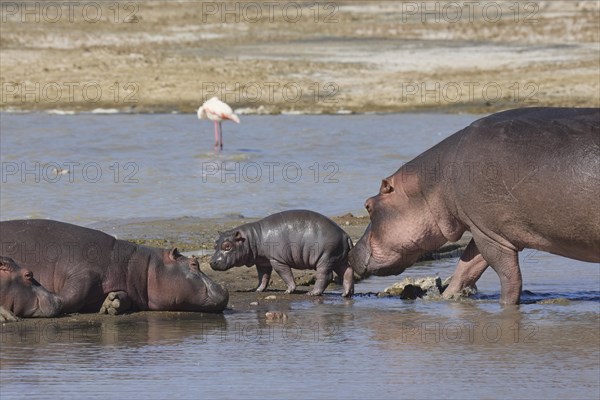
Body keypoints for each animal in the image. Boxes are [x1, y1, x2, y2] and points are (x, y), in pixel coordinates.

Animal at [0, 219, 230, 316]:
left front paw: (112, 303)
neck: (139, 266)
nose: (224, 288)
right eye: (194, 263)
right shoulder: (83, 273)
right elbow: (70, 296)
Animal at [210, 209, 354, 296]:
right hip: (338, 258)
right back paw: (346, 293)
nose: (212, 262)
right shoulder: (262, 262)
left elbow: (285, 274)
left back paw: (312, 293)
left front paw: (289, 290)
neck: (253, 237)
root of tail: (345, 234)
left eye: (227, 246)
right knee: (347, 272)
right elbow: (263, 277)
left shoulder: (277, 260)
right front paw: (257, 290)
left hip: (326, 258)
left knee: (325, 276)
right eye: (215, 243)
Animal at [350, 108, 596, 304]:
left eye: (368, 205)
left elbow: (509, 278)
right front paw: (446, 297)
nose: (351, 252)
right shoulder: (481, 229)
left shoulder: (493, 236)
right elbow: (466, 268)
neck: (433, 183)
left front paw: (506, 306)